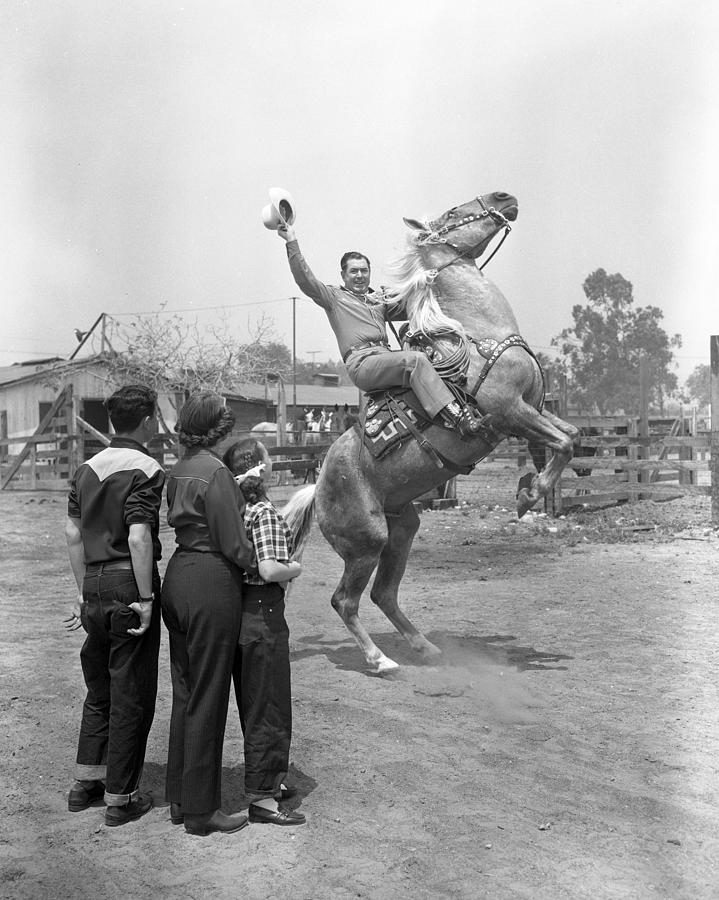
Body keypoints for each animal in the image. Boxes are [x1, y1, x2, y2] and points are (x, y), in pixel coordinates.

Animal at [284, 195, 584, 676]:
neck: (481, 335)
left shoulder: (533, 411)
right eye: (452, 212)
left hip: (403, 527)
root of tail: (319, 486)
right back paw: (380, 659)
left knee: (382, 594)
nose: (504, 198)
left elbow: (568, 436)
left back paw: (425, 648)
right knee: (345, 600)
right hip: (368, 540)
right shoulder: (510, 412)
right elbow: (564, 442)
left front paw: (526, 484)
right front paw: (529, 495)